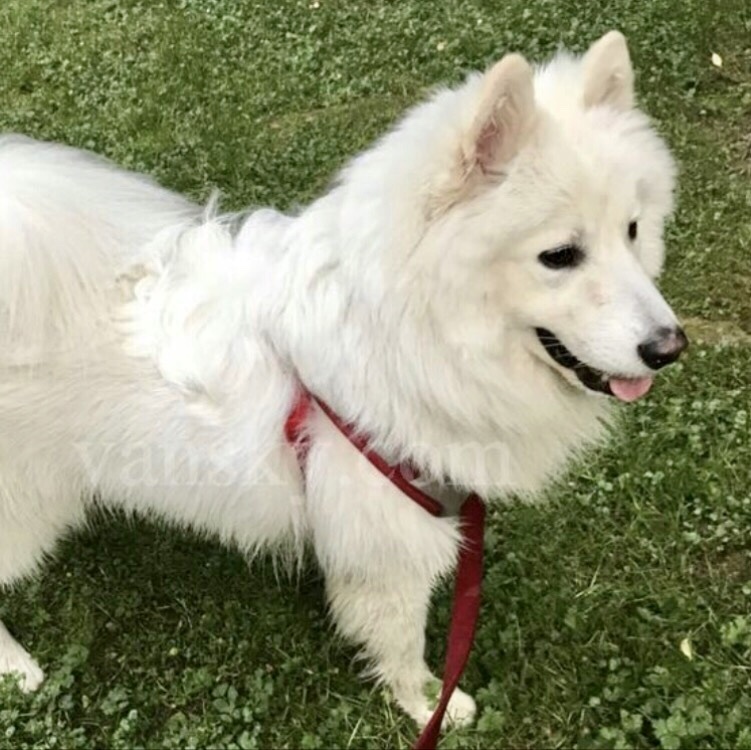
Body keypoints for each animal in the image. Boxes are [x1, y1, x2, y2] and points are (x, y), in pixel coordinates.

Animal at [0, 32, 688, 732]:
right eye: (559, 256)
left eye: (633, 231)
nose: (670, 347)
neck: (402, 330)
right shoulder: (393, 540)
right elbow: (402, 639)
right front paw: (429, 704)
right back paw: (17, 668)